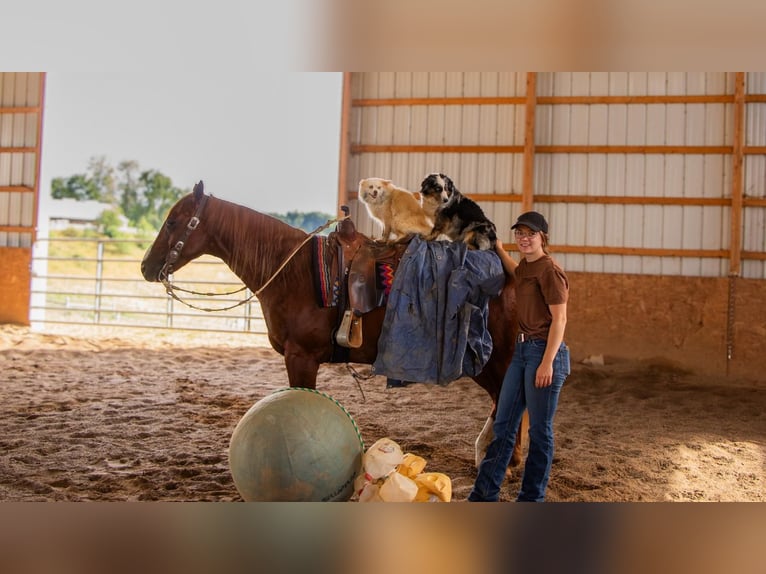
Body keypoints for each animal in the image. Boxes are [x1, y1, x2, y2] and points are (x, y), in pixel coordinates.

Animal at [141, 182, 528, 470]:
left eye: (173, 222)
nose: (146, 266)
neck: (293, 271)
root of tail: (510, 267)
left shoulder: (300, 357)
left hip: (493, 362)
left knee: (506, 403)